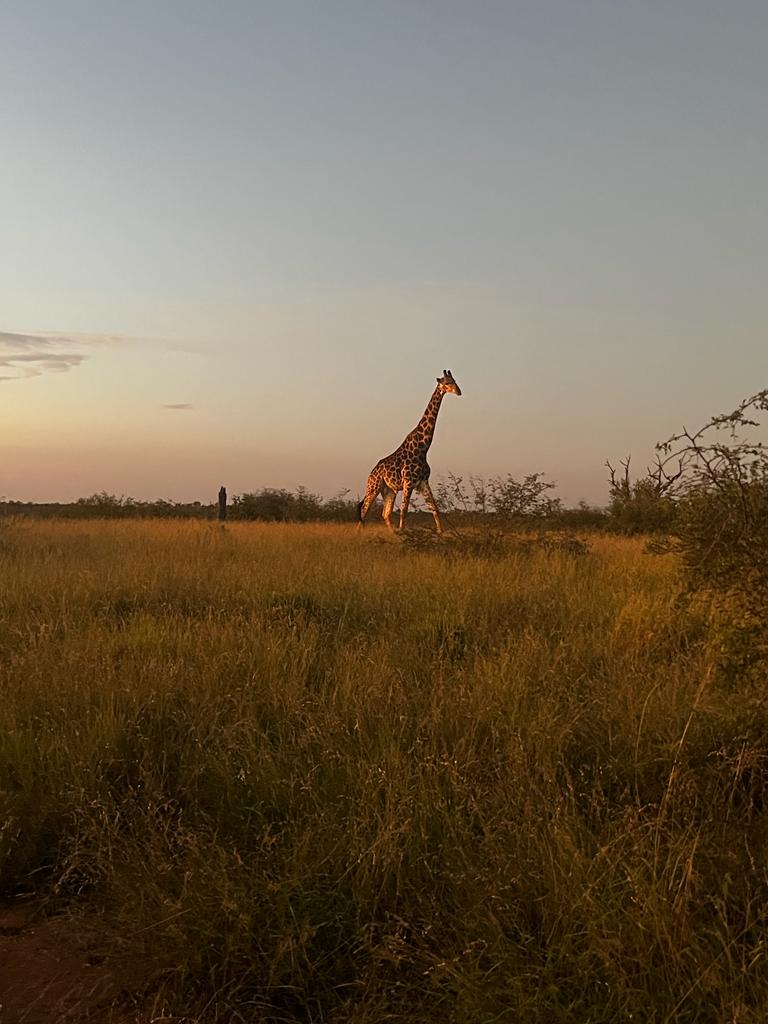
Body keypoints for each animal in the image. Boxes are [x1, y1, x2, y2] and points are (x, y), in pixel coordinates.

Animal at [357, 370, 462, 534]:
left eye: (455, 380)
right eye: (446, 383)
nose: (459, 391)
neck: (423, 447)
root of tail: (371, 472)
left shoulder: (423, 482)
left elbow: (435, 508)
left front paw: (440, 532)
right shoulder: (408, 481)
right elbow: (404, 510)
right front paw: (404, 533)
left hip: (389, 490)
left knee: (385, 513)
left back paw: (393, 534)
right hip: (373, 487)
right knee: (364, 509)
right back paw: (359, 533)